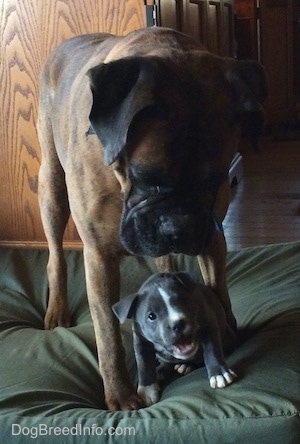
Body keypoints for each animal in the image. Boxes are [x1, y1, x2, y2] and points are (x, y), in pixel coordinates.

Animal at [112, 270, 237, 406]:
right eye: (151, 316)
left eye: (184, 301)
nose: (177, 324)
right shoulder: (140, 341)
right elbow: (143, 365)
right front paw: (147, 391)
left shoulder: (208, 324)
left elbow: (212, 351)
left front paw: (219, 373)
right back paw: (161, 370)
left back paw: (186, 366)